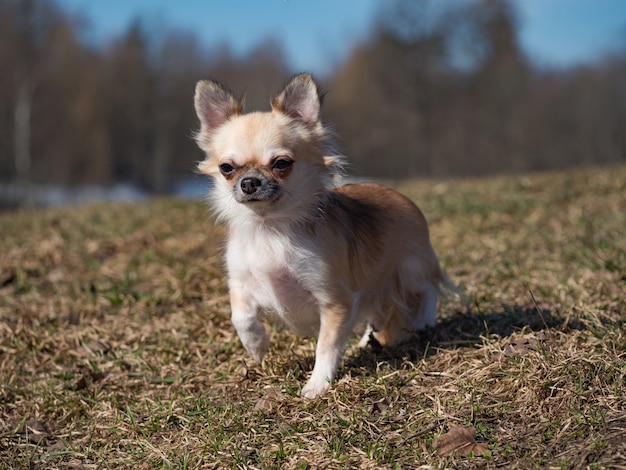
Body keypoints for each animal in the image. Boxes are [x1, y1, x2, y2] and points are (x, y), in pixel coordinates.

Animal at [193, 72, 456, 396]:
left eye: (281, 164)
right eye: (227, 168)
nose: (249, 182)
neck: (270, 227)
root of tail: (403, 198)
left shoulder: (335, 300)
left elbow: (326, 346)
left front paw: (317, 384)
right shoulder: (241, 282)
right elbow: (240, 315)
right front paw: (257, 346)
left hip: (410, 268)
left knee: (428, 286)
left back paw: (424, 321)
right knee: (377, 312)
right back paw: (367, 340)